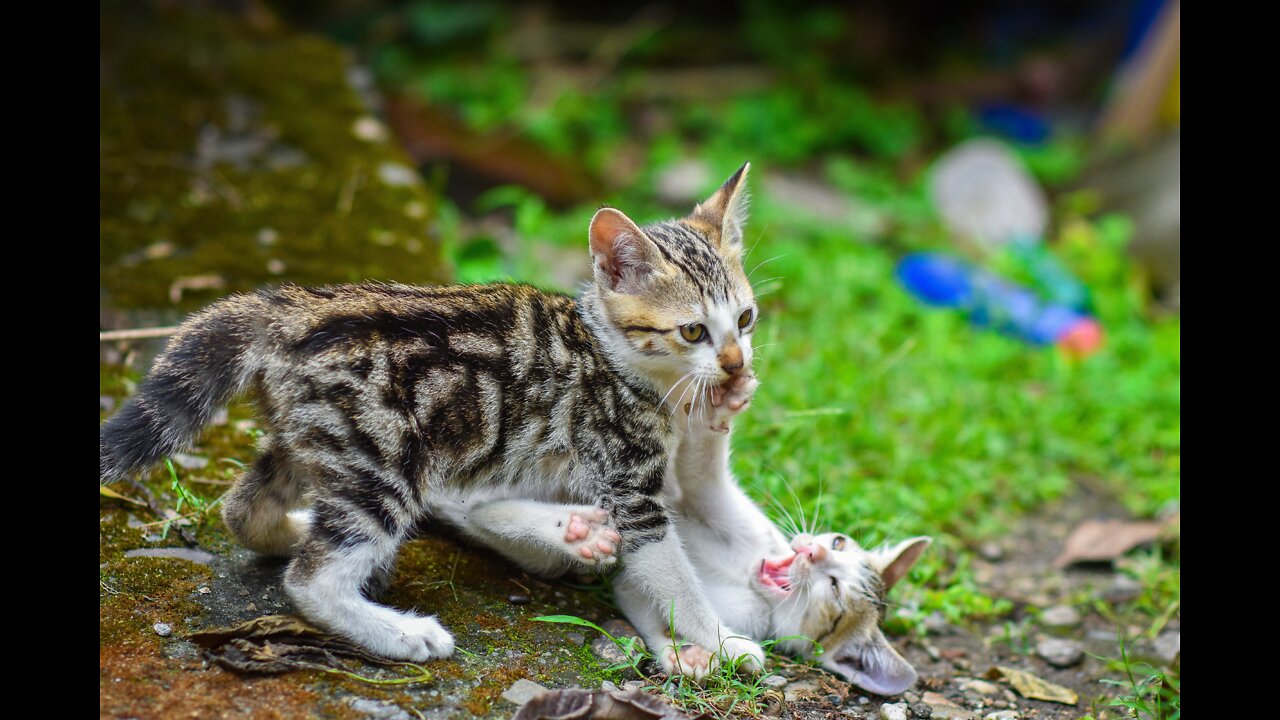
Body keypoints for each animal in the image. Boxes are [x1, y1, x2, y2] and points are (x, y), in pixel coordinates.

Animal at [99, 162, 768, 666]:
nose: (735, 363)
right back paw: (398, 632)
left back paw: (296, 531)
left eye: (745, 318)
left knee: (244, 507)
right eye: (692, 330)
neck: (614, 356)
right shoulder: (628, 481)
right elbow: (673, 574)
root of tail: (290, 309)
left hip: (321, 437)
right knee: (312, 580)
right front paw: (724, 642)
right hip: (384, 459)